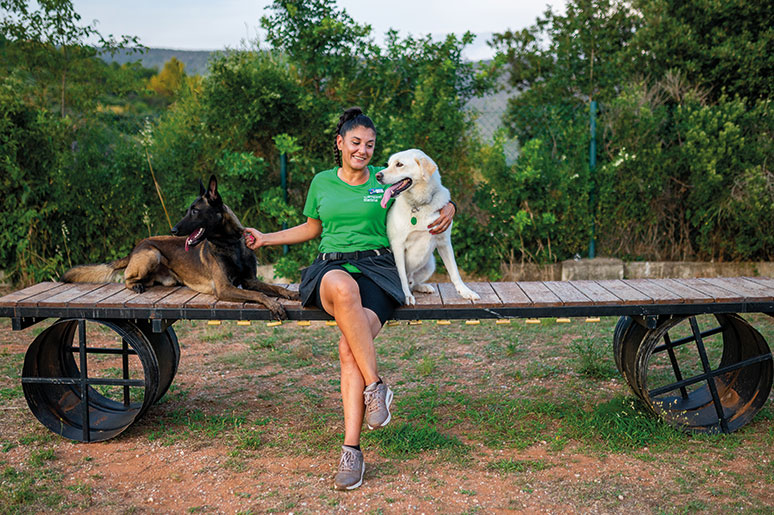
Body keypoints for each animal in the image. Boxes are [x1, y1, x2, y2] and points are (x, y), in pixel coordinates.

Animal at [62, 176, 298, 318]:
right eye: (188, 210)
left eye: (194, 211)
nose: (173, 229)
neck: (231, 245)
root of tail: (136, 247)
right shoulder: (224, 288)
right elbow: (258, 295)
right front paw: (274, 305)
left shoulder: (249, 280)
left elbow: (274, 288)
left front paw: (290, 294)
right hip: (152, 254)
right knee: (127, 278)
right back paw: (136, 286)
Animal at [378, 148, 482, 306]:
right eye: (388, 164)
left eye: (399, 164)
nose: (378, 175)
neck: (419, 205)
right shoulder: (398, 246)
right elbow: (401, 276)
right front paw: (406, 296)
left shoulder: (444, 242)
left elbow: (454, 271)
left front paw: (465, 292)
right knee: (408, 279)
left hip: (430, 264)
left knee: (412, 282)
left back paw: (423, 287)